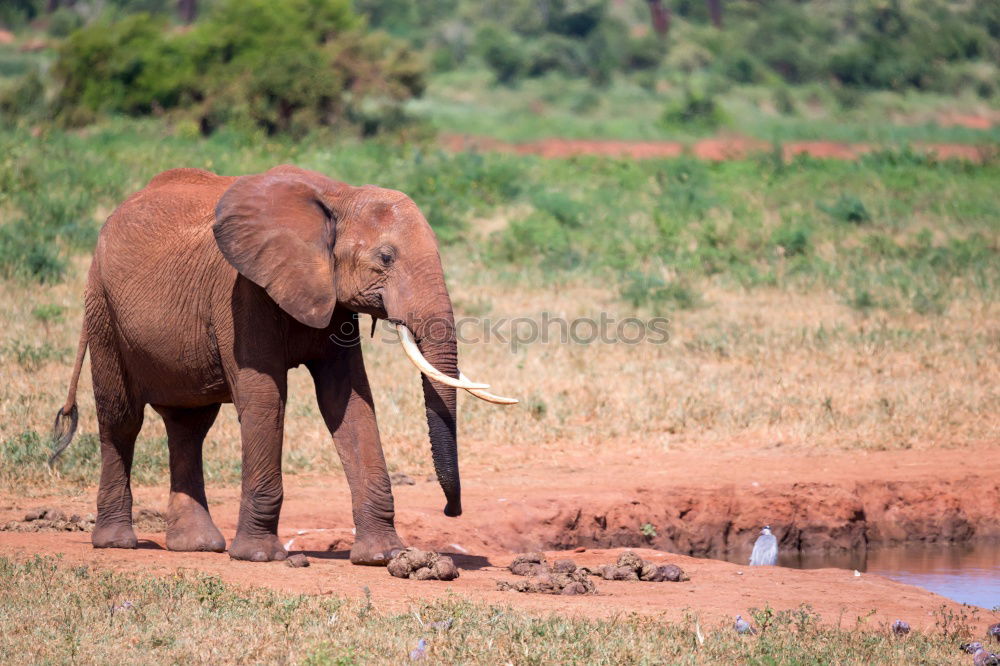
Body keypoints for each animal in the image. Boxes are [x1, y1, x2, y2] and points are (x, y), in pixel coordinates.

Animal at [51, 165, 516, 560]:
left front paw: (384, 556)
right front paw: (260, 556)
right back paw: (117, 543)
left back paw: (197, 546)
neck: (339, 195)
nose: (451, 511)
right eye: (385, 258)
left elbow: (349, 402)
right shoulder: (241, 292)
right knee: (121, 419)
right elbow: (265, 400)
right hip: (101, 307)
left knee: (189, 426)